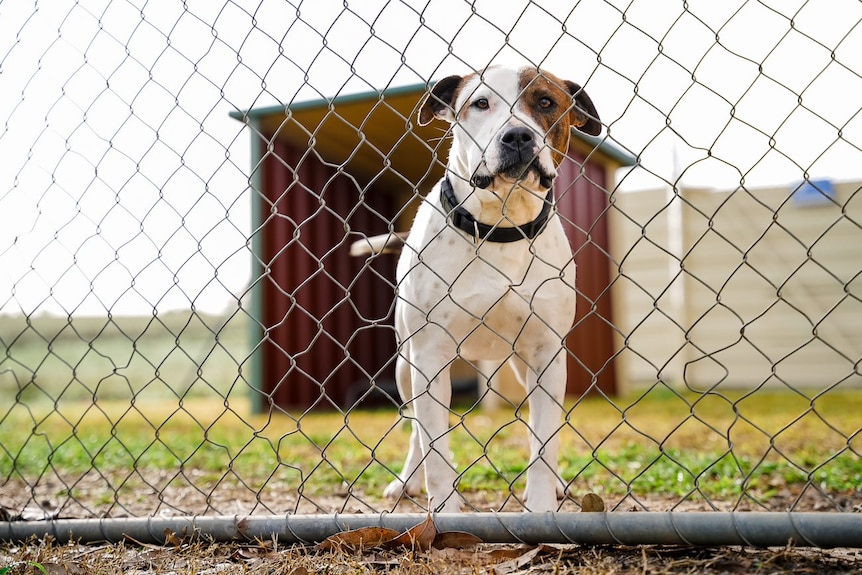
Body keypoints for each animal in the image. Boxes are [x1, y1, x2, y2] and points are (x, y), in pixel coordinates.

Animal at [354, 66, 596, 512]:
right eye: (480, 103)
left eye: (546, 102)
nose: (517, 136)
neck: (502, 224)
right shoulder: (429, 356)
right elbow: (434, 446)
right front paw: (445, 512)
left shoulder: (547, 354)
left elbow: (543, 442)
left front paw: (541, 506)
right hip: (405, 367)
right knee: (416, 430)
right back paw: (407, 482)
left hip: (522, 364)